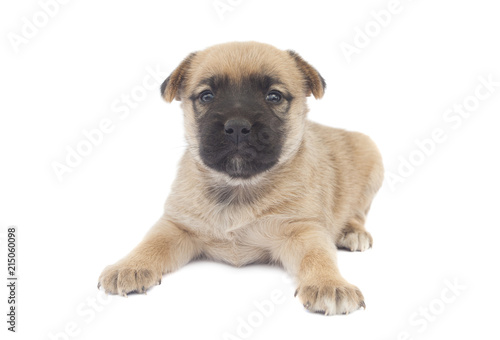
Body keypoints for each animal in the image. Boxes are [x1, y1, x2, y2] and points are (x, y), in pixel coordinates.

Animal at [99, 42, 384, 316]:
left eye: (274, 96)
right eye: (207, 96)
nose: (237, 126)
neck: (239, 187)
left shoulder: (303, 230)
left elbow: (318, 256)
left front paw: (329, 284)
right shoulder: (177, 225)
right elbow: (151, 243)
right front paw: (130, 266)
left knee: (357, 212)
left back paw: (352, 232)